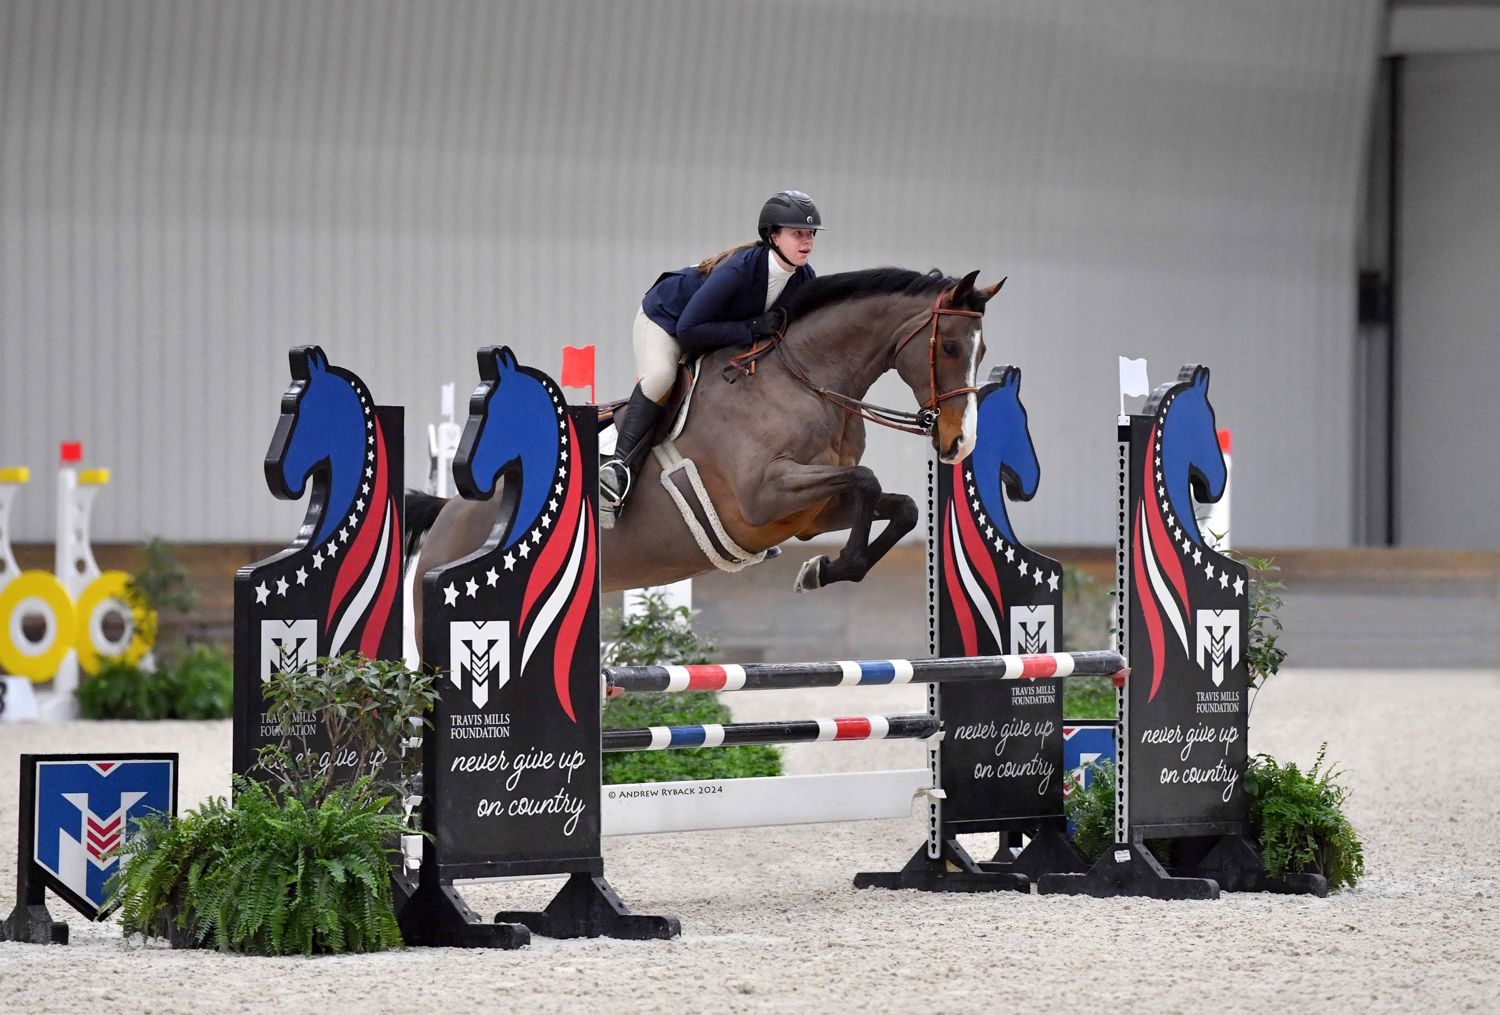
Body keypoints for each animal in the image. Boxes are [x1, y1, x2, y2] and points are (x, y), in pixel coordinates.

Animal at [405, 265, 1002, 638]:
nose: (959, 443)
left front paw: (822, 569)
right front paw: (828, 567)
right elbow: (869, 481)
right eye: (950, 347)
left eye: (982, 353)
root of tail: (448, 515)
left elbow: (900, 506)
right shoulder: (764, 497)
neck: (806, 380)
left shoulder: (809, 513)